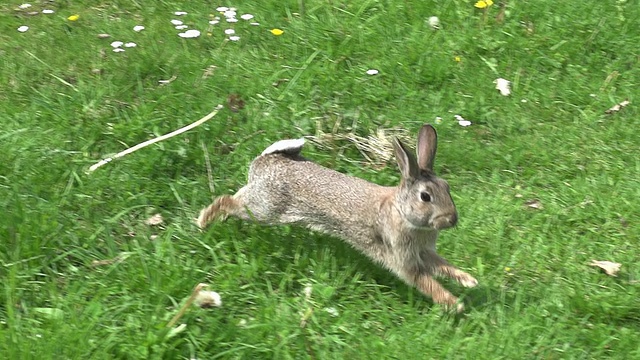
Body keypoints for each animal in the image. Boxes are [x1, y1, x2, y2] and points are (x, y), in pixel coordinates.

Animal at [198, 124, 478, 312]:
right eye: (425, 197)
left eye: (447, 188)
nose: (452, 219)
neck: (400, 211)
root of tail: (264, 162)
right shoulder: (403, 259)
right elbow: (426, 282)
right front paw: (455, 305)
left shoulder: (424, 252)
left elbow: (443, 266)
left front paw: (469, 281)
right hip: (264, 210)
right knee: (227, 200)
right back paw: (202, 222)